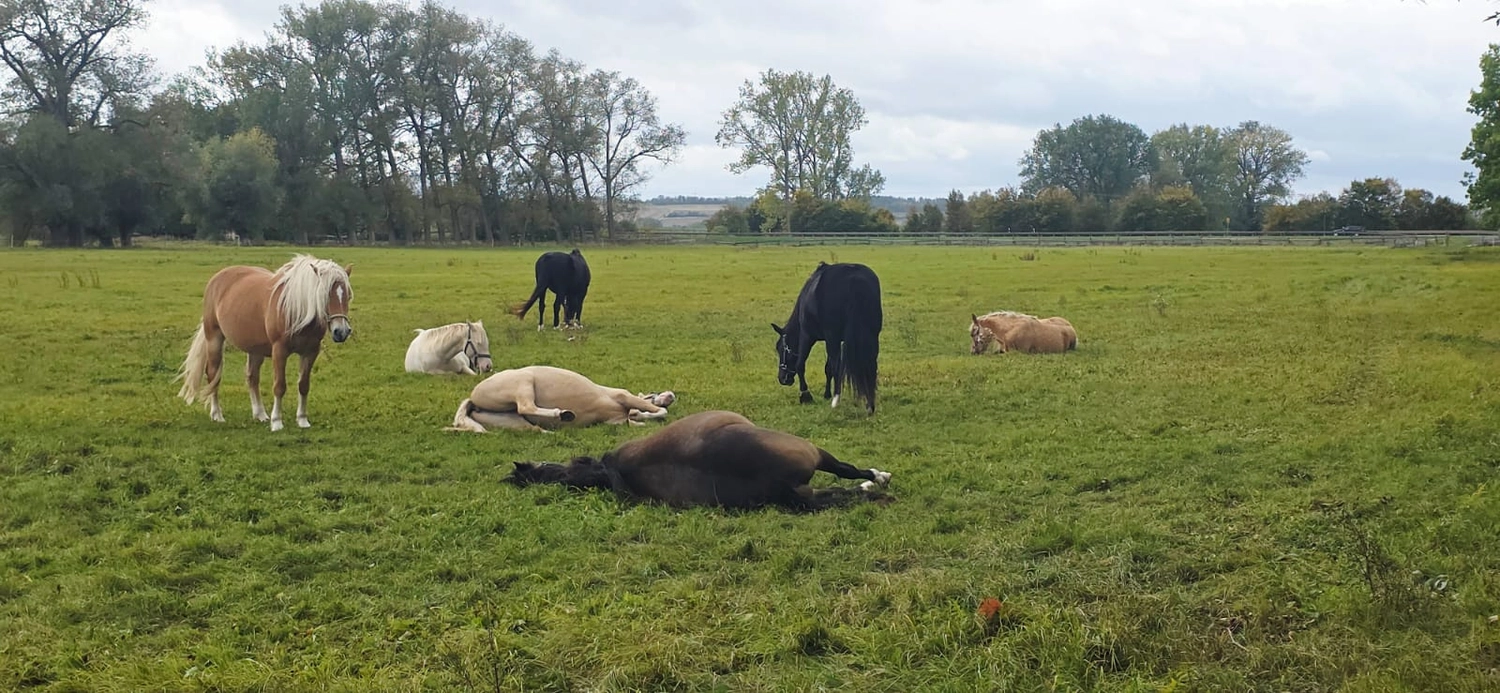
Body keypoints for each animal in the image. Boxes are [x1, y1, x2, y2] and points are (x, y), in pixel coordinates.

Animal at [176, 254, 353, 431]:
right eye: (324, 294)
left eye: (348, 296)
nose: (341, 332)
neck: (295, 310)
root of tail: (217, 278)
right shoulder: (279, 351)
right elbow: (279, 386)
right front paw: (277, 422)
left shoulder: (310, 352)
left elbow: (303, 385)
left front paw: (302, 420)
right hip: (214, 338)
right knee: (213, 375)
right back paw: (217, 414)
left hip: (255, 349)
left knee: (252, 377)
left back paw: (260, 414)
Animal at [447, 365, 675, 433]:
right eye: (655, 392)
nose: (672, 395)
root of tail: (473, 399)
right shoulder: (624, 397)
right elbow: (658, 411)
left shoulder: (617, 420)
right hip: (524, 381)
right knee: (525, 406)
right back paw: (563, 414)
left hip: (513, 421)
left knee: (532, 427)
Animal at [772, 262, 883, 413]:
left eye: (780, 348)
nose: (782, 378)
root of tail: (856, 280)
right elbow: (828, 368)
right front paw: (826, 394)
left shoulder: (808, 336)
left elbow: (801, 365)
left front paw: (805, 396)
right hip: (871, 335)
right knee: (870, 365)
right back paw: (869, 404)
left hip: (832, 337)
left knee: (838, 366)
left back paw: (836, 401)